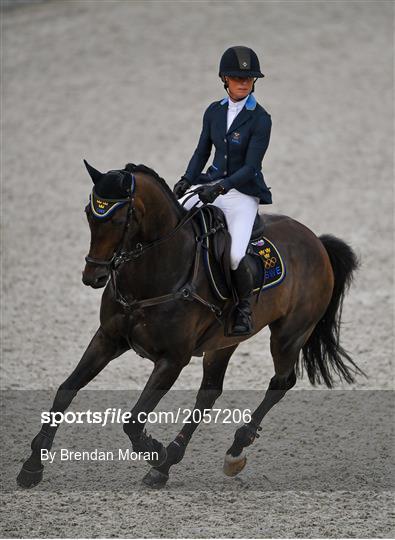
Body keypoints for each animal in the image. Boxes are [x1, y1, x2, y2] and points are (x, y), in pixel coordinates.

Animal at [17, 160, 364, 490]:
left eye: (118, 219)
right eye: (89, 213)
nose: (94, 276)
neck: (151, 274)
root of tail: (316, 241)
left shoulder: (172, 359)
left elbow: (133, 419)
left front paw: (155, 451)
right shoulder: (107, 338)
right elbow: (66, 391)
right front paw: (32, 467)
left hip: (289, 335)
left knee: (281, 382)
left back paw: (231, 450)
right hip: (223, 343)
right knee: (209, 394)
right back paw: (168, 465)